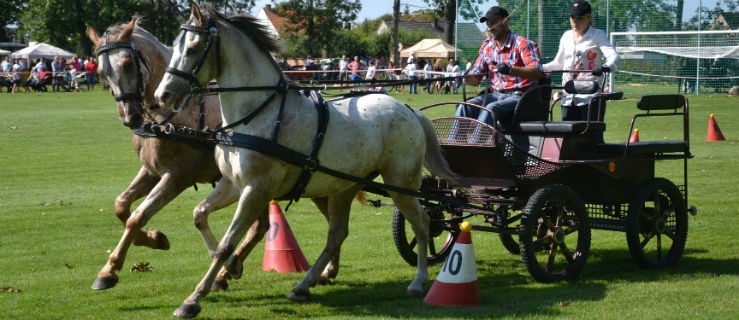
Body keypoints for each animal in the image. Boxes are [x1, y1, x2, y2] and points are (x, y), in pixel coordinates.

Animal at [86, 17, 272, 292]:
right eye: (101, 71)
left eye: (128, 63)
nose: (130, 117)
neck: (170, 116)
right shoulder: (151, 171)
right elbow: (121, 206)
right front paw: (153, 239)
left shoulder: (177, 177)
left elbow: (137, 216)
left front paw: (110, 269)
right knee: (260, 227)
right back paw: (225, 272)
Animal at [153, 2, 460, 318]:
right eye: (175, 45)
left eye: (192, 48)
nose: (162, 95)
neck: (258, 113)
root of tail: (409, 110)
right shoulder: (233, 184)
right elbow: (200, 215)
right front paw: (231, 268)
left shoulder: (256, 190)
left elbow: (228, 242)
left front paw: (192, 299)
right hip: (345, 186)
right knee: (337, 233)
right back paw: (304, 284)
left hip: (402, 184)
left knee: (422, 223)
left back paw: (418, 282)